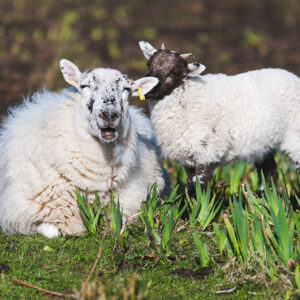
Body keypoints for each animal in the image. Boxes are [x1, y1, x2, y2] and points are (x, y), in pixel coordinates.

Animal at [0, 58, 168, 237]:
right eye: (84, 86)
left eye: (127, 89)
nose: (109, 115)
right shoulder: (22, 212)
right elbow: (52, 231)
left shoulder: (131, 200)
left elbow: (122, 219)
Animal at [138, 40, 300, 192]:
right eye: (149, 64)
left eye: (175, 72)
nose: (148, 89)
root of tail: (293, 77)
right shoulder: (188, 159)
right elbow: (190, 187)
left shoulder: (209, 152)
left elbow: (198, 189)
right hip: (264, 145)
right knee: (269, 174)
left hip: (294, 137)